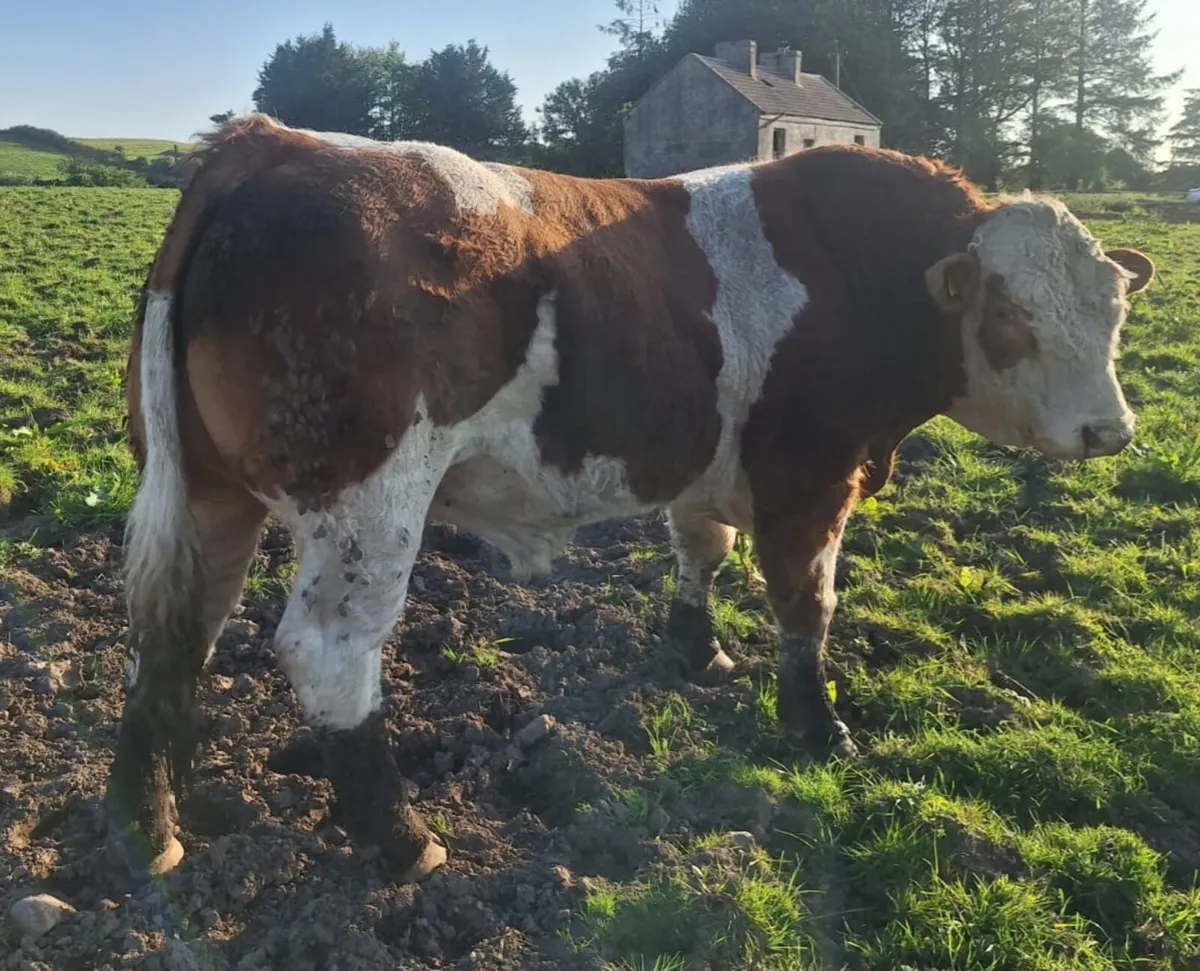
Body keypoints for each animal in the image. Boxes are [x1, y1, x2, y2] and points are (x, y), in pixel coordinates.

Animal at [106, 113, 1155, 887]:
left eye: (1114, 309)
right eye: (1012, 314)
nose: (1112, 430)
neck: (854, 275)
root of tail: (275, 141)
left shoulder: (713, 471)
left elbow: (702, 550)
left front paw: (699, 650)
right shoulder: (813, 478)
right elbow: (804, 605)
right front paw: (819, 727)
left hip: (207, 493)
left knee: (174, 627)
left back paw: (148, 819)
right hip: (367, 508)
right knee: (329, 654)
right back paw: (400, 837)